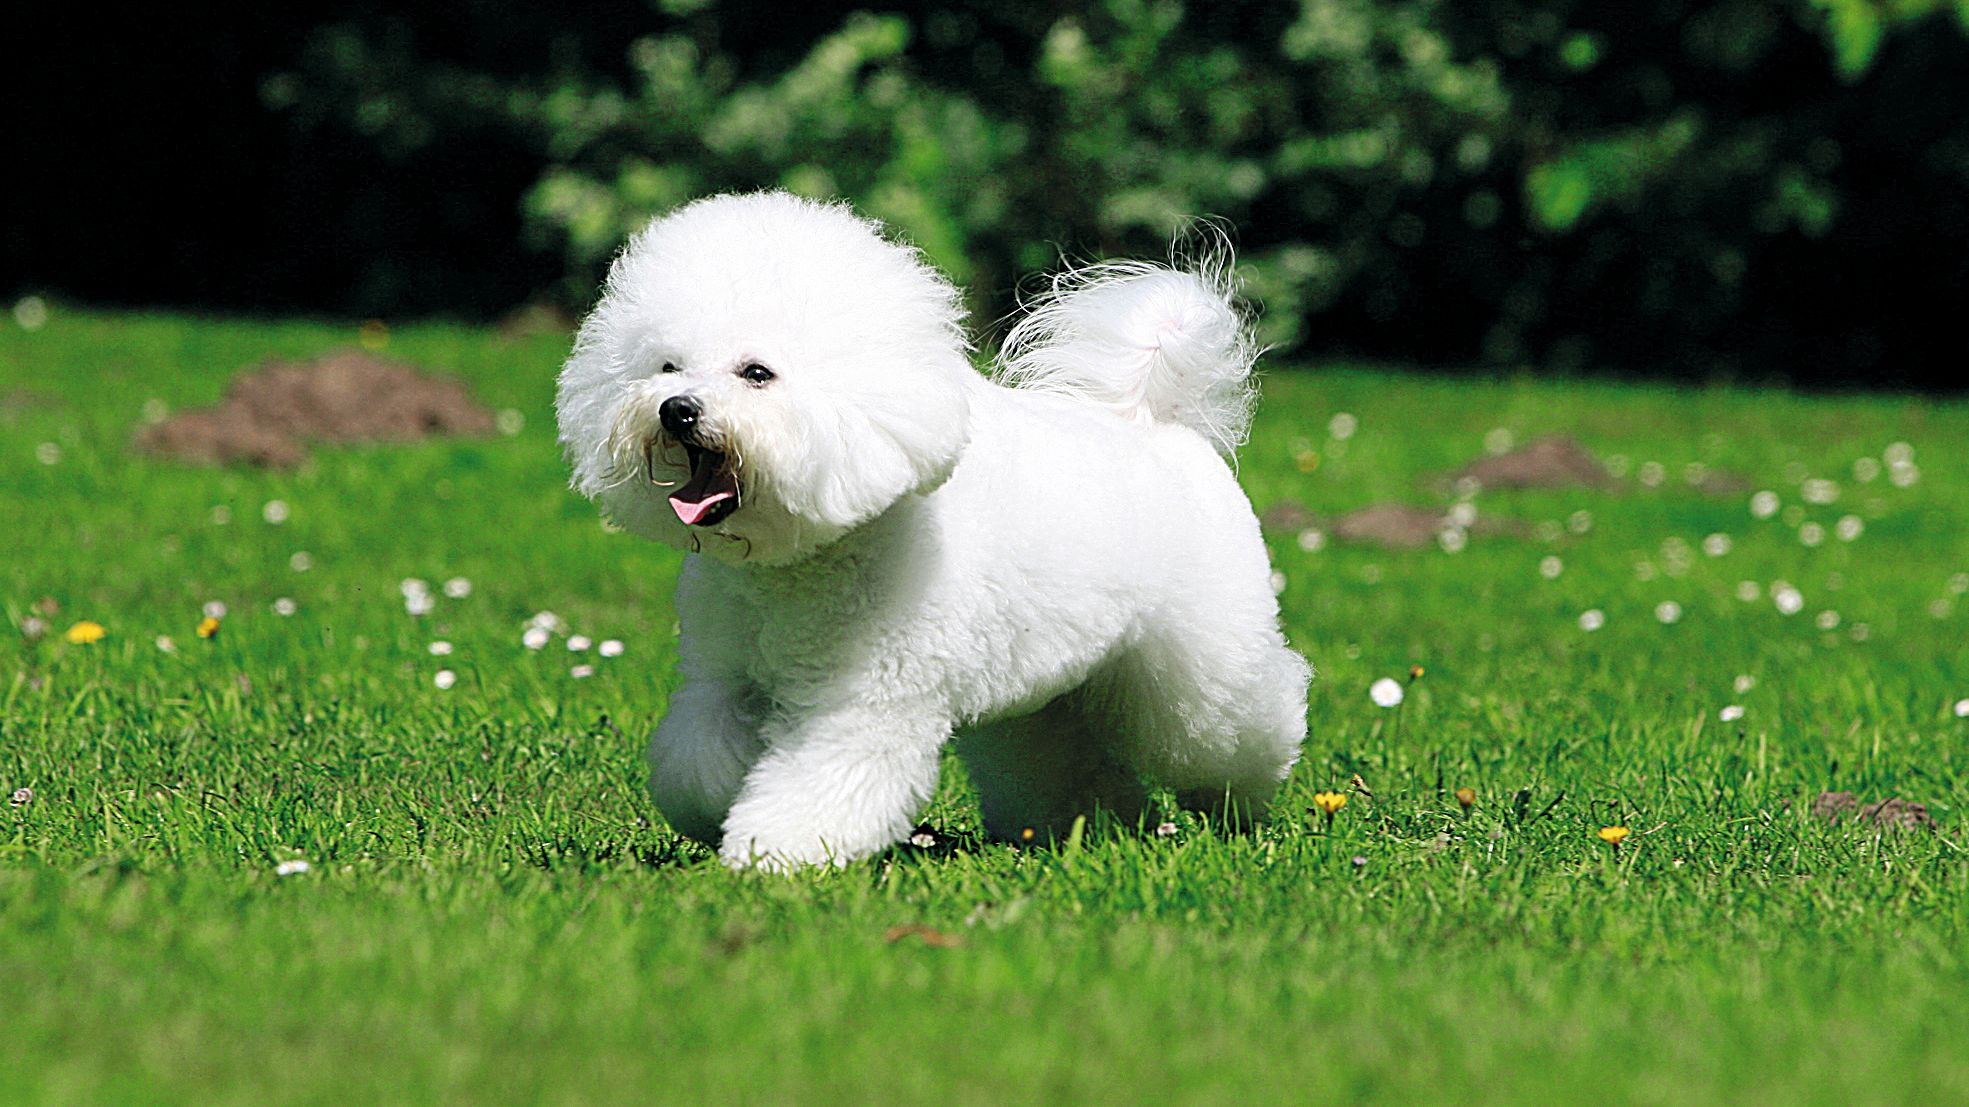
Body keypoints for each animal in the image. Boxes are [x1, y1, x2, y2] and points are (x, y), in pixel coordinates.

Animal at [555, 192, 1315, 870]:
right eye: (666, 366)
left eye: (756, 373)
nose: (675, 409)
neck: (806, 561)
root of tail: (1153, 420)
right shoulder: (722, 678)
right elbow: (697, 760)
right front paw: (718, 811)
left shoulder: (862, 701)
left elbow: (821, 780)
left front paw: (775, 854)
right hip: (1048, 693)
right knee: (1060, 758)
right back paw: (1090, 823)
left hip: (1200, 668)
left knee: (1237, 725)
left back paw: (1240, 806)